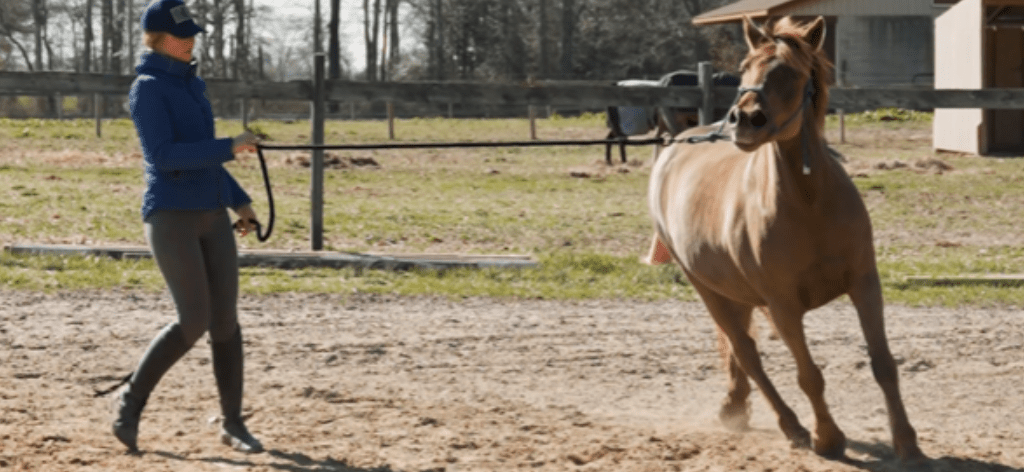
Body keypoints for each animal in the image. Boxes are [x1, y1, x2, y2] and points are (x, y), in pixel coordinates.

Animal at [645, 16, 925, 463]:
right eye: (745, 67)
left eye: (791, 72)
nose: (745, 119)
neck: (808, 203)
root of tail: (674, 149)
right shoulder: (783, 306)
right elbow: (809, 375)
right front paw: (827, 438)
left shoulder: (865, 285)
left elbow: (883, 363)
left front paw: (907, 441)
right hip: (705, 288)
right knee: (747, 353)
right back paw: (791, 426)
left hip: (734, 292)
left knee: (739, 351)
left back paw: (735, 406)